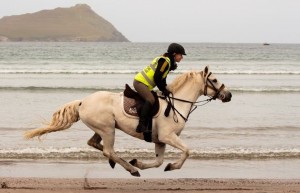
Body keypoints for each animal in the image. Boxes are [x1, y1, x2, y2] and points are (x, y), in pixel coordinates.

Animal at [25, 65, 232, 176]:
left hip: (102, 129)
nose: (228, 95)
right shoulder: (168, 136)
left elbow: (158, 162)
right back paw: (130, 169)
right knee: (108, 150)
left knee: (94, 143)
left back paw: (123, 164)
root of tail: (83, 101)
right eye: (214, 80)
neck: (177, 104)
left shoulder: (160, 140)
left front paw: (141, 162)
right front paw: (172, 166)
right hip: (108, 129)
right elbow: (187, 151)